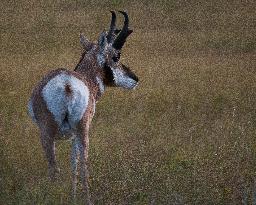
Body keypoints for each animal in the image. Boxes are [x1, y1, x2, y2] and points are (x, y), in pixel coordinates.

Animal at [28, 10, 138, 203]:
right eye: (116, 56)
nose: (135, 79)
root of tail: (67, 84)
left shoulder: (72, 135)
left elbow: (73, 164)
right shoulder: (76, 134)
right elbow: (76, 163)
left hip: (53, 134)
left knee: (57, 168)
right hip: (79, 131)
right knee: (82, 164)